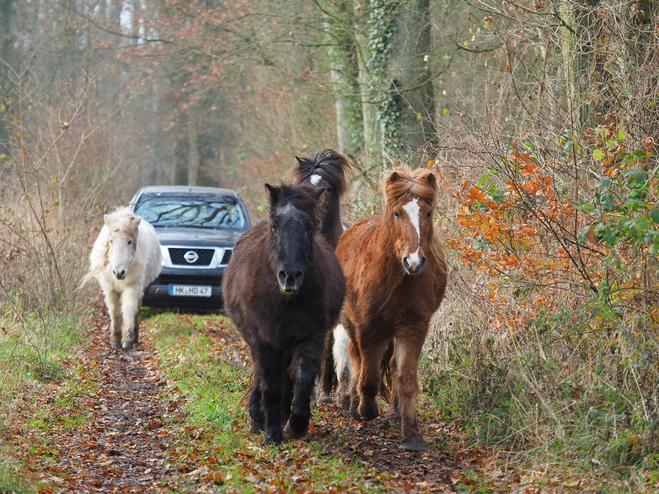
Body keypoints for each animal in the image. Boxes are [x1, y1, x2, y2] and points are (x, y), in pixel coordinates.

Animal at [81, 206, 162, 350]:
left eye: (130, 241)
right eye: (111, 241)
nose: (119, 272)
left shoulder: (132, 287)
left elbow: (129, 310)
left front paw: (128, 340)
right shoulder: (110, 289)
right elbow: (115, 313)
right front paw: (115, 340)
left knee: (136, 308)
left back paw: (134, 336)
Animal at [223, 184, 346, 444]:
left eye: (310, 227)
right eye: (274, 225)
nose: (290, 276)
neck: (286, 301)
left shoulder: (311, 337)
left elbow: (302, 377)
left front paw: (296, 424)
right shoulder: (264, 340)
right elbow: (271, 383)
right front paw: (271, 432)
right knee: (264, 376)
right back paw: (259, 417)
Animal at [338, 166, 446, 452]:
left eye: (428, 213)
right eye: (397, 213)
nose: (414, 262)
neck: (397, 278)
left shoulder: (413, 327)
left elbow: (405, 378)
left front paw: (411, 435)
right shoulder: (368, 329)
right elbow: (368, 378)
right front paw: (365, 410)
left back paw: (396, 414)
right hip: (351, 325)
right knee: (356, 358)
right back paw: (355, 404)